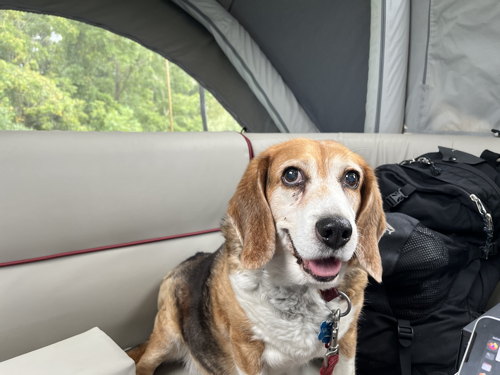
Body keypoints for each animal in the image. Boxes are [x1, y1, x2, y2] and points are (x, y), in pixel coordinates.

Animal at [127, 140, 384, 375]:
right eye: (291, 175)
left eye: (352, 178)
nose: (338, 230)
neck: (301, 290)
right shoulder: (246, 350)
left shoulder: (345, 343)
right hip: (167, 334)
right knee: (143, 364)